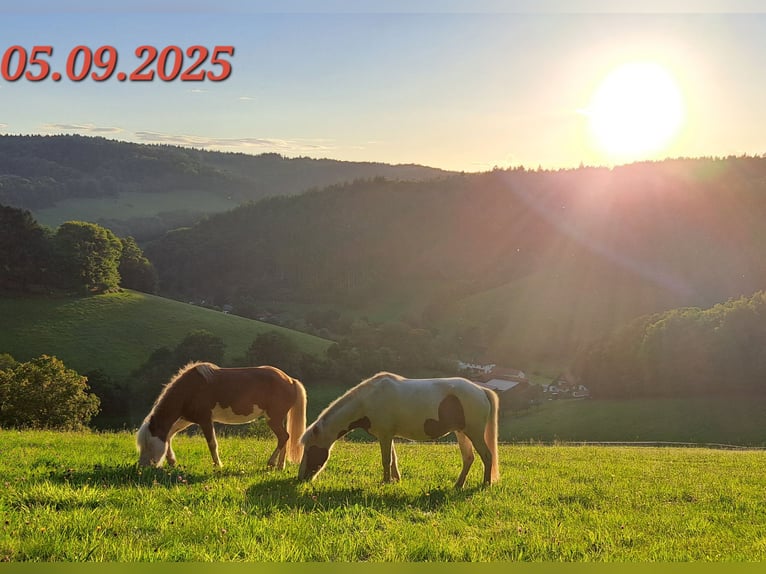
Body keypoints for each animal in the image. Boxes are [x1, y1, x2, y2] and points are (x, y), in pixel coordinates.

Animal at [136, 362, 306, 469]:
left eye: (149, 444)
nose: (141, 468)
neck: (191, 388)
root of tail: (290, 380)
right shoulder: (186, 419)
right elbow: (170, 435)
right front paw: (172, 461)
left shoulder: (205, 420)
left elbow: (212, 444)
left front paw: (218, 465)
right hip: (278, 419)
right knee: (285, 438)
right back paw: (280, 466)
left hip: (273, 419)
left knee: (283, 437)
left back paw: (271, 463)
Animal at [298, 372, 500, 488]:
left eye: (309, 449)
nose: (301, 478)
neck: (367, 400)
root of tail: (481, 390)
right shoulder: (387, 435)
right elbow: (393, 459)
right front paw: (396, 480)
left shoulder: (385, 435)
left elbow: (386, 460)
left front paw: (386, 481)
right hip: (462, 433)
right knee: (469, 458)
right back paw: (458, 485)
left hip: (474, 433)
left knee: (487, 456)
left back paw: (486, 484)